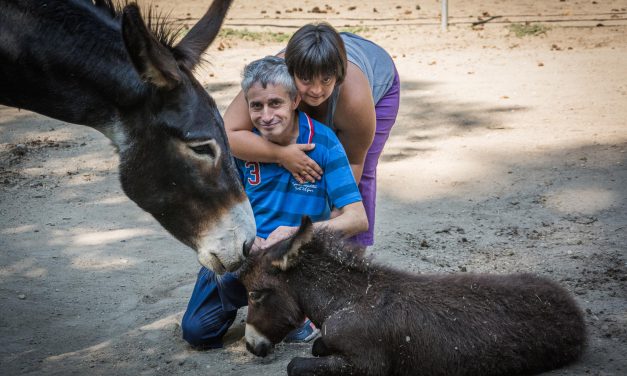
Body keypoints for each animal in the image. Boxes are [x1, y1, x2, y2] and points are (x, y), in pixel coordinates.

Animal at [240, 217, 588, 376]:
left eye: (255, 294)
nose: (250, 346)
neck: (347, 300)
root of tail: (575, 311)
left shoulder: (366, 366)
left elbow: (296, 364)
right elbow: (316, 347)